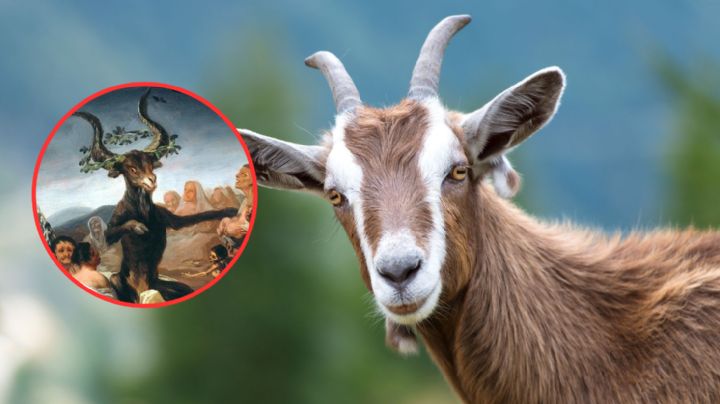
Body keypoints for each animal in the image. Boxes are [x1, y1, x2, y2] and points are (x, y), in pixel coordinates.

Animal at [73, 89, 237, 303]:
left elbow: (197, 217)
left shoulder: (170, 219)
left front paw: (231, 210)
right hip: (118, 280)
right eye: (132, 168)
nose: (151, 180)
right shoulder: (113, 225)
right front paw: (138, 227)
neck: (143, 211)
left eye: (149, 163)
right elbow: (110, 234)